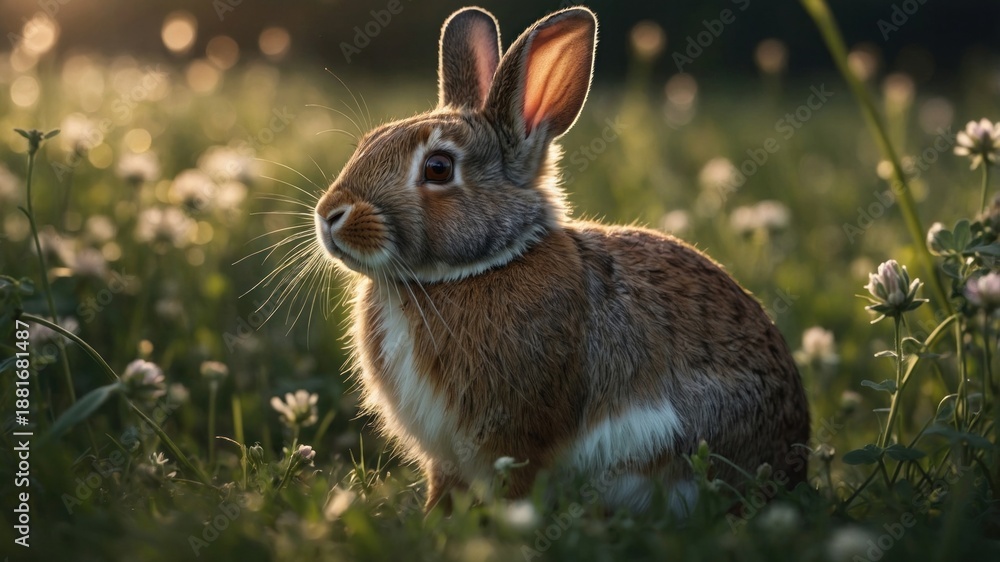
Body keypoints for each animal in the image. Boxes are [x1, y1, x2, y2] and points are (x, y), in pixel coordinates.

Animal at [313, 5, 810, 515]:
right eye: (369, 141)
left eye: (438, 168)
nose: (329, 215)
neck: (473, 270)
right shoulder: (448, 455)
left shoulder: (518, 433)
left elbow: (516, 478)